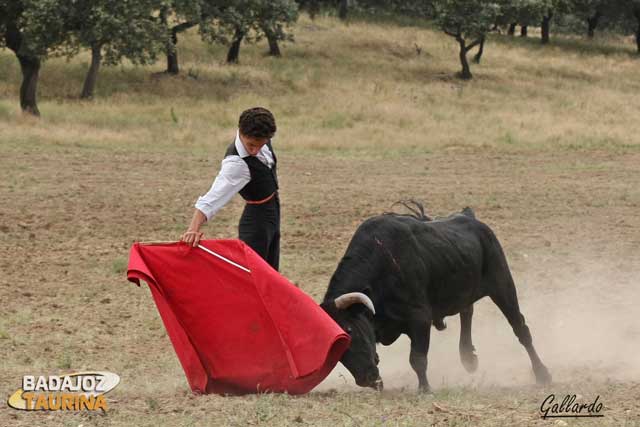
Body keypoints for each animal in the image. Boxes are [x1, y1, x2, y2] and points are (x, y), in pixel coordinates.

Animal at [320, 207, 552, 392]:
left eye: (350, 329)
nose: (366, 380)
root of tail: (470, 217)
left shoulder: (420, 318)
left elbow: (417, 358)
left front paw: (425, 388)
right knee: (467, 311)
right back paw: (468, 358)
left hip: (502, 285)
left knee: (521, 329)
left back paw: (542, 373)